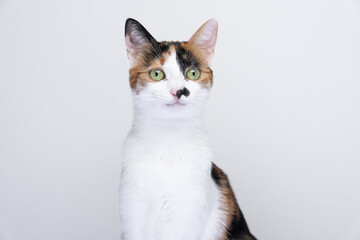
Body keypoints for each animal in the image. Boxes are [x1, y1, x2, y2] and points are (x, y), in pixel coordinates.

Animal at [119, 18, 258, 240]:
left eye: (193, 73)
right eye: (157, 74)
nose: (180, 91)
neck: (168, 142)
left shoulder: (186, 218)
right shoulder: (131, 213)